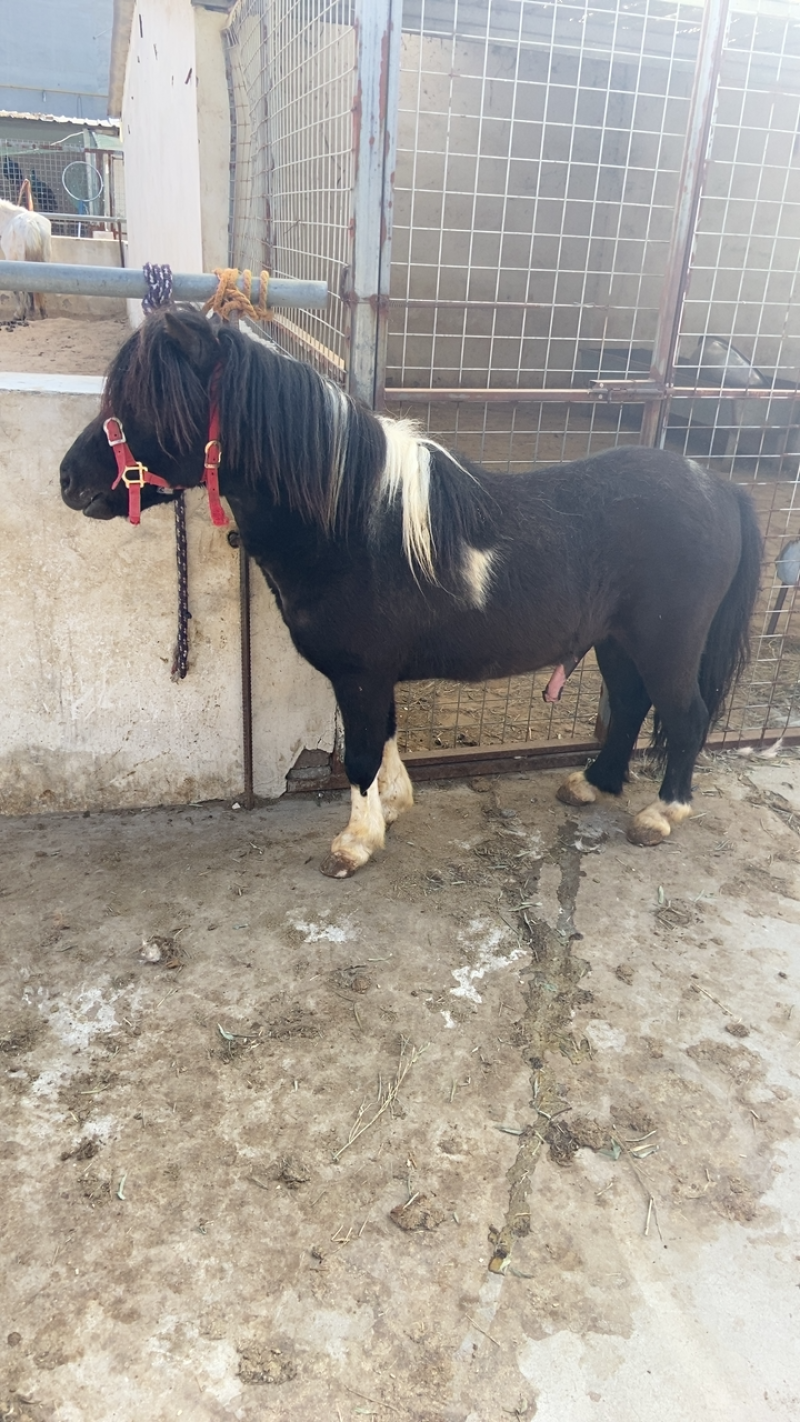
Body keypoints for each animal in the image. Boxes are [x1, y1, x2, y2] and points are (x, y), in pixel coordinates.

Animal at [59, 308, 763, 877]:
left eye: (147, 401)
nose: (67, 479)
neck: (353, 526)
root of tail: (719, 486)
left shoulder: (361, 674)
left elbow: (363, 751)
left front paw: (356, 843)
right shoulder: (374, 673)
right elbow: (388, 739)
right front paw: (393, 809)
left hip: (667, 643)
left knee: (687, 714)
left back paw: (661, 815)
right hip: (616, 640)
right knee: (635, 703)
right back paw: (592, 785)